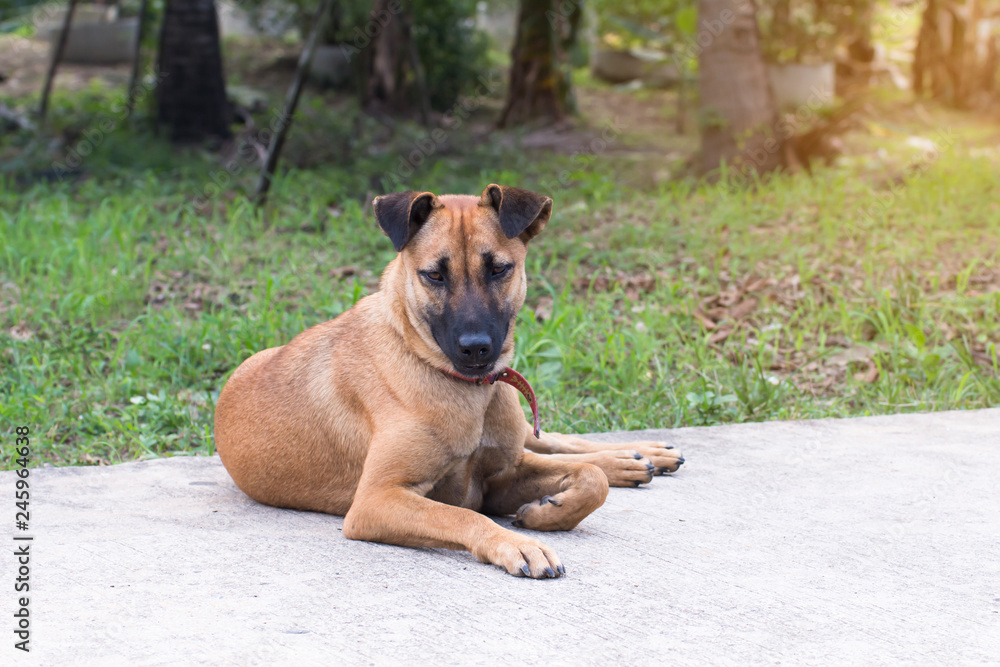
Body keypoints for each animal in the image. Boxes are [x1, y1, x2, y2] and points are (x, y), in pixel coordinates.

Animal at [215, 184, 684, 580]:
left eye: (499, 269)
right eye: (434, 275)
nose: (476, 349)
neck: (464, 389)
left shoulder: (501, 474)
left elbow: (591, 479)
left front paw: (546, 511)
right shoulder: (378, 500)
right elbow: (462, 514)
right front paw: (518, 542)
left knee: (557, 443)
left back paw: (639, 455)